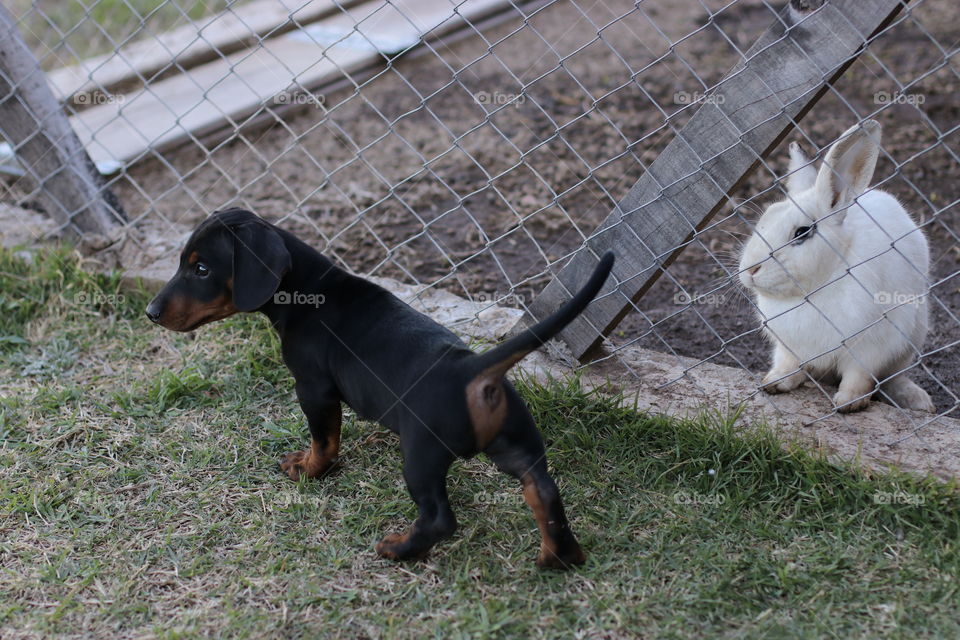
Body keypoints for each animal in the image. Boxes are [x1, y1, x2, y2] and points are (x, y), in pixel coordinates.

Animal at [145, 210, 616, 568]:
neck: (311, 288)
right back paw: (559, 556)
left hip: (422, 455)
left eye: (201, 268)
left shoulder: (313, 389)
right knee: (543, 491)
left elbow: (324, 440)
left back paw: (399, 549)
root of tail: (475, 369)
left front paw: (308, 470)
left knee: (440, 519)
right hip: (515, 444)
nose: (150, 312)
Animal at [740, 120, 932, 412]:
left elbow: (859, 375)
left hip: (912, 336)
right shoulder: (789, 346)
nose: (750, 269)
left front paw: (848, 402)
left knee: (891, 377)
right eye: (765, 219)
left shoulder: (870, 346)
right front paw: (774, 382)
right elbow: (789, 365)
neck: (814, 289)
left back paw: (916, 400)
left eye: (802, 232)